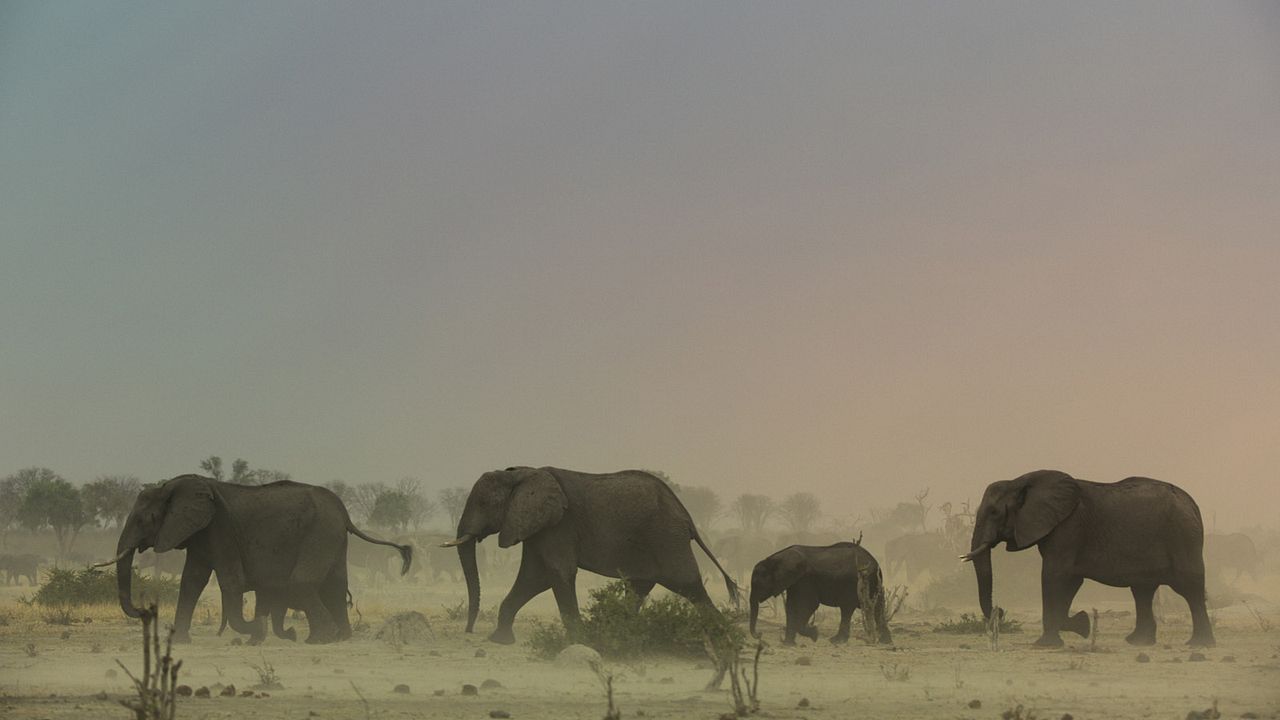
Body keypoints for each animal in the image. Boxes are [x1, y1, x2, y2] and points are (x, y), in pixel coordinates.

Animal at [99, 474, 409, 640]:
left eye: (146, 519)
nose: (144, 611)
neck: (172, 486)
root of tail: (344, 512)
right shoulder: (200, 533)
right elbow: (191, 581)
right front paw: (181, 641)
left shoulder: (220, 528)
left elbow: (230, 581)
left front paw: (254, 629)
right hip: (332, 537)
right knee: (334, 585)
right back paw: (338, 638)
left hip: (319, 532)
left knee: (303, 582)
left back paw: (318, 641)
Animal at [445, 466, 742, 645]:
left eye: (484, 503)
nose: (469, 631)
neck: (521, 473)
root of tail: (687, 516)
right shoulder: (538, 527)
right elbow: (534, 578)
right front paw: (500, 640)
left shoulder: (559, 525)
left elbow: (557, 573)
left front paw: (577, 641)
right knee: (639, 587)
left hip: (667, 538)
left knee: (688, 585)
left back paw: (723, 639)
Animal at [747, 538, 890, 645]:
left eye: (758, 584)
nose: (759, 634)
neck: (775, 558)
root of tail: (876, 563)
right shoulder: (795, 581)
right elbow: (791, 605)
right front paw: (789, 644)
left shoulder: (806, 579)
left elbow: (808, 605)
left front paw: (814, 634)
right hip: (874, 583)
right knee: (877, 607)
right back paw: (885, 642)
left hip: (857, 583)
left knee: (847, 609)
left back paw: (837, 641)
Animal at [962, 468, 1213, 648]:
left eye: (994, 512)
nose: (1000, 611)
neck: (1020, 480)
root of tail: (1193, 504)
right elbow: (1070, 580)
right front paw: (1081, 625)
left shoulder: (1069, 527)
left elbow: (1054, 575)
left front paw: (1046, 644)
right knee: (1142, 590)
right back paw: (1138, 642)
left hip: (1182, 536)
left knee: (1189, 588)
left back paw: (1199, 645)